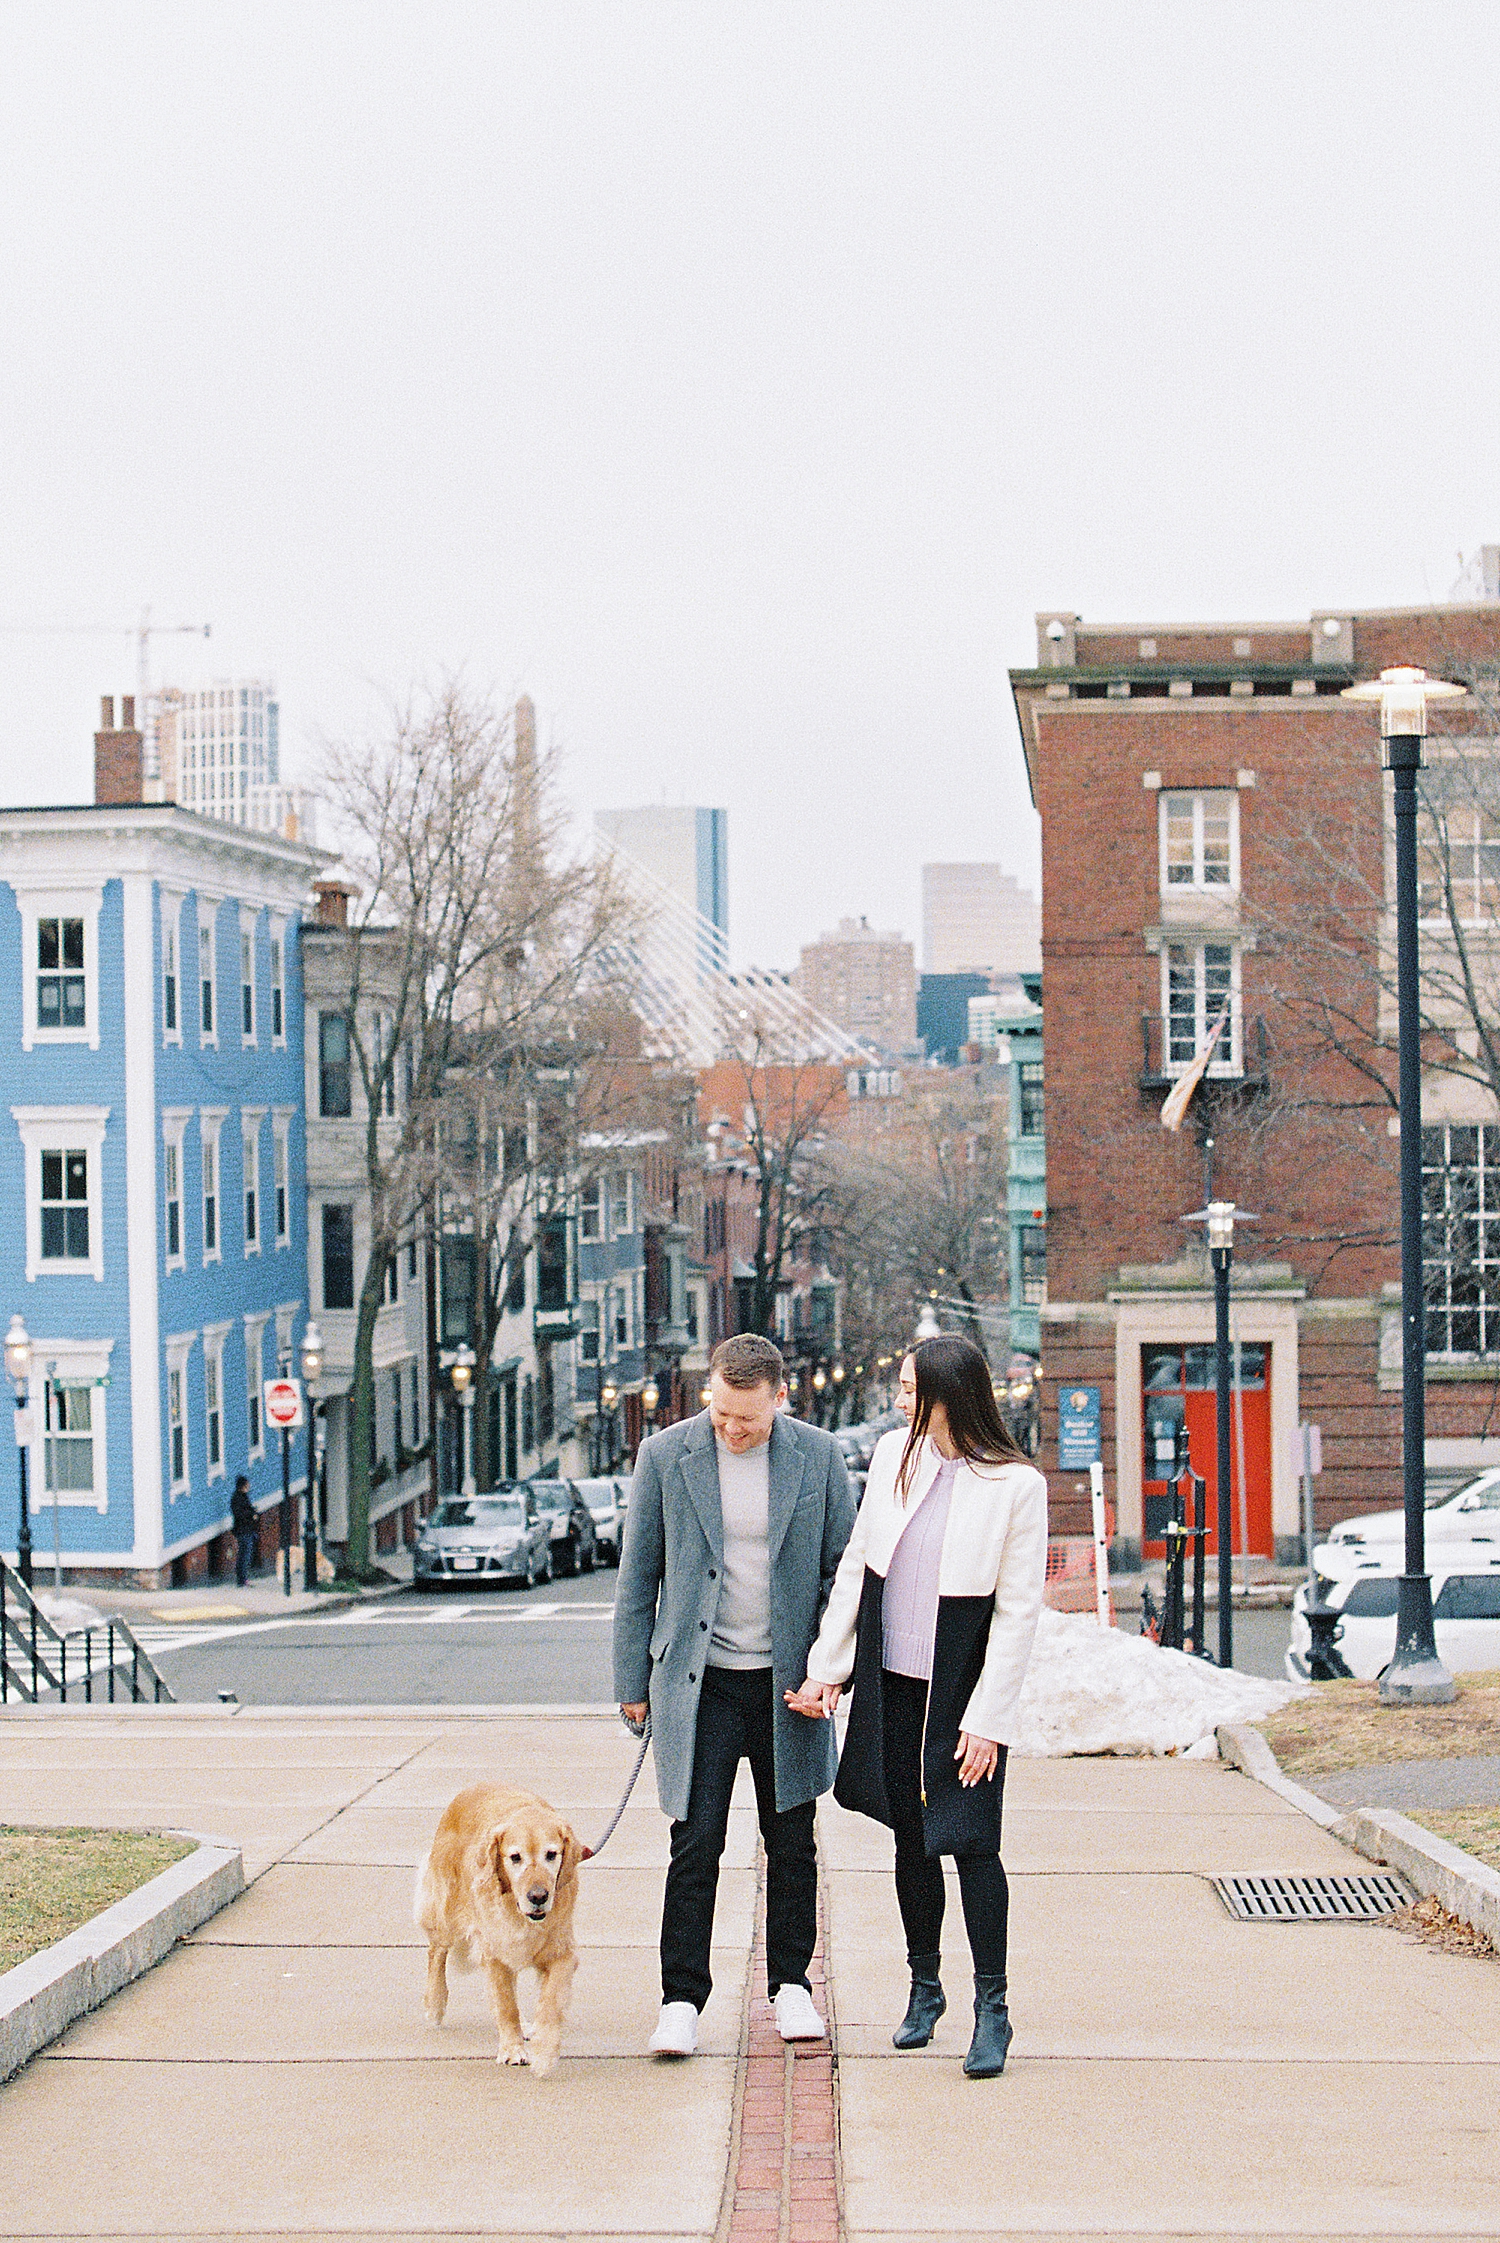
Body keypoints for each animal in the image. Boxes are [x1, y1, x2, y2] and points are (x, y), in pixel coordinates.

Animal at [412, 1776, 582, 2072]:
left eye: (552, 1854)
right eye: (515, 1857)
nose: (538, 1896)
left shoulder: (562, 1953)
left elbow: (550, 2003)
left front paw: (544, 2050)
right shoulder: (495, 1954)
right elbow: (506, 2006)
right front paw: (513, 2049)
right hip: (446, 1915)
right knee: (436, 1953)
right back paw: (435, 2004)